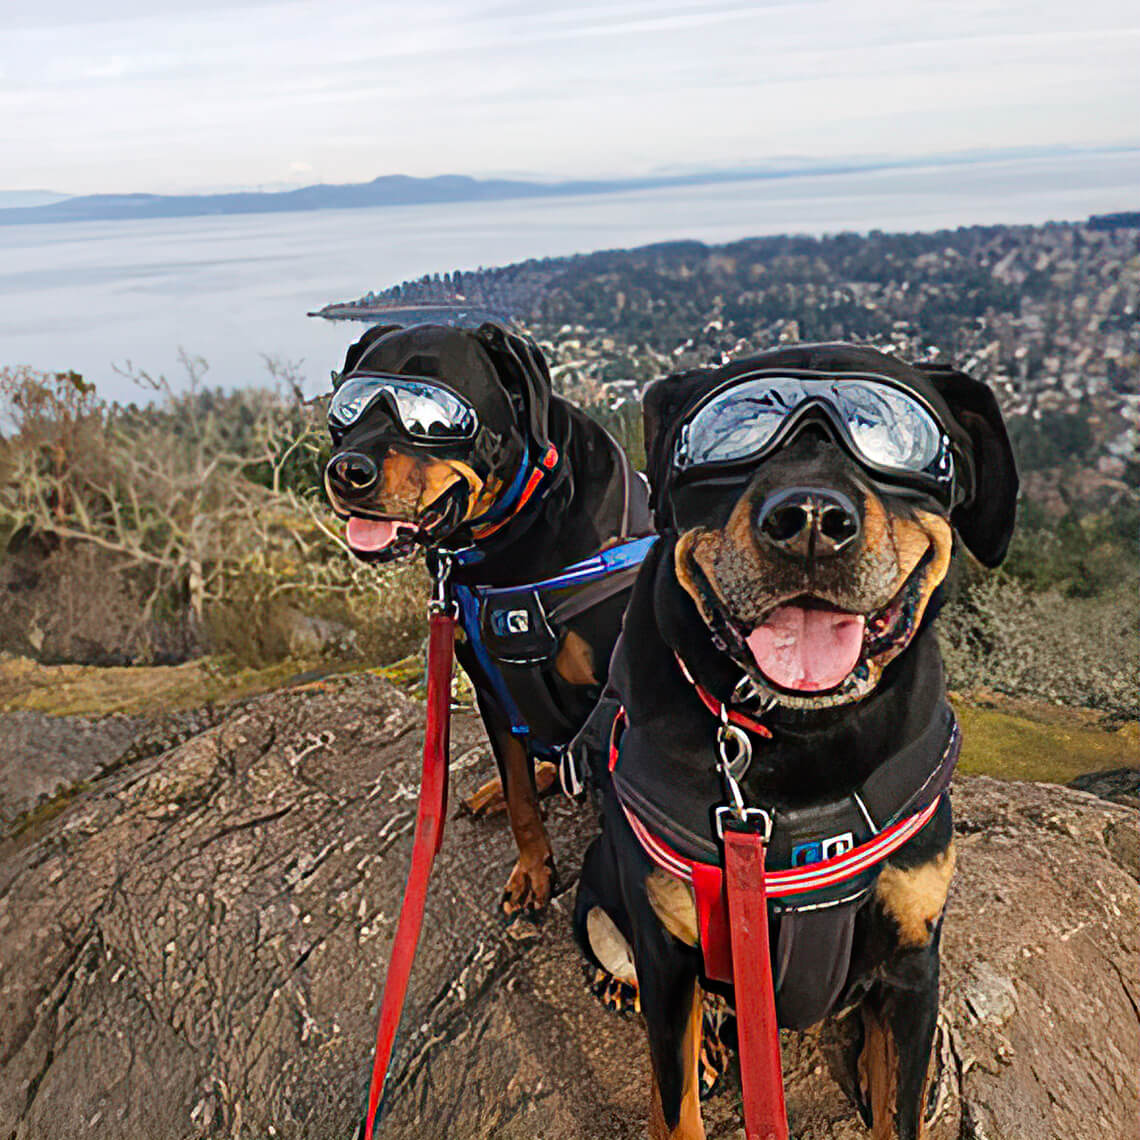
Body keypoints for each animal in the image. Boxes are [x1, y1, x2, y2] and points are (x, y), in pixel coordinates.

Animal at [326, 314, 652, 916]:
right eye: (346, 411)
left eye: (433, 420)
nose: (346, 470)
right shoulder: (489, 691)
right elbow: (522, 797)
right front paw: (533, 868)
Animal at [574, 344, 1021, 1140]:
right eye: (727, 434)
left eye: (897, 435)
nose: (809, 518)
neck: (800, 736)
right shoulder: (669, 957)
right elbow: (673, 1103)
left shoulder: (913, 963)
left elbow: (900, 1109)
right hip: (601, 903)